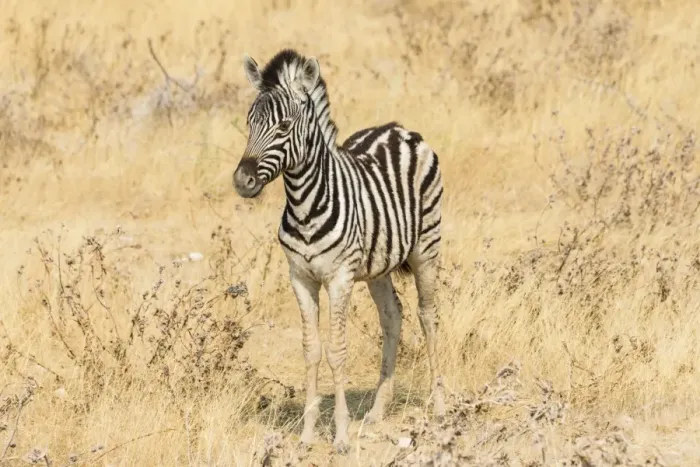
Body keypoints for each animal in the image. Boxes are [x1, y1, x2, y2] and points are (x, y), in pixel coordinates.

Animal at [232, 49, 445, 453]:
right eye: (249, 122)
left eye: (284, 126)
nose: (242, 180)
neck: (304, 204)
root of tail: (398, 129)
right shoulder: (300, 278)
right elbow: (311, 350)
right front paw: (306, 435)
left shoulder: (339, 278)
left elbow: (336, 351)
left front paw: (342, 436)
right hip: (379, 265)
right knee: (393, 317)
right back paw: (378, 409)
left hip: (427, 247)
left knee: (428, 316)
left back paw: (439, 404)